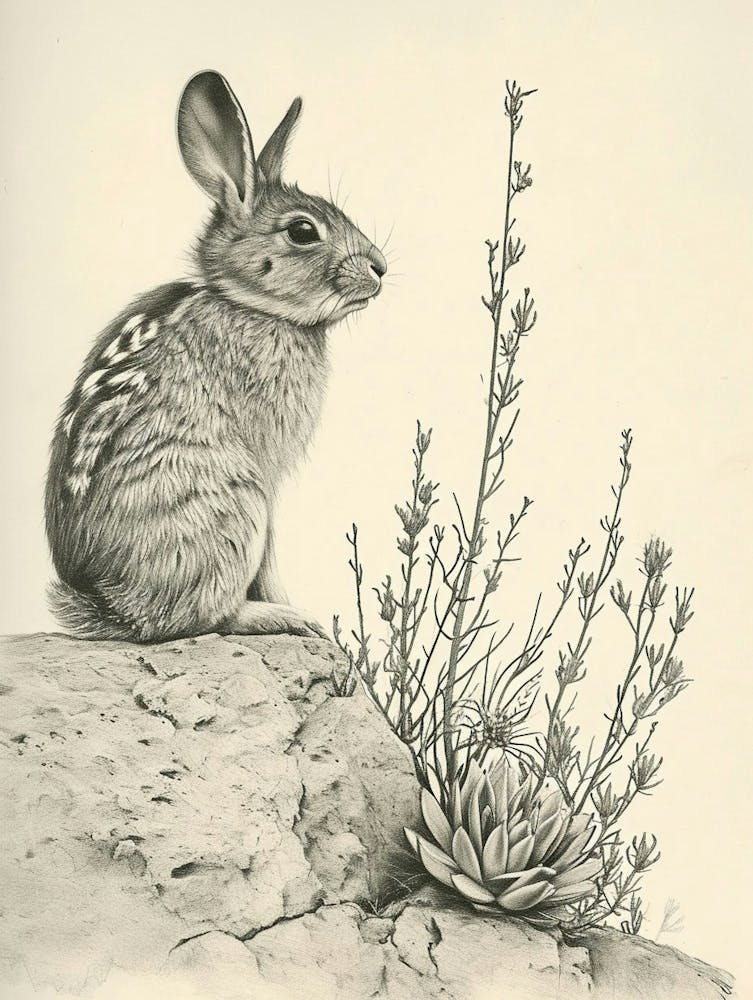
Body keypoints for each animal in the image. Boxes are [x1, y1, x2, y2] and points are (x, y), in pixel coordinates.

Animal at [45, 70, 387, 643]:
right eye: (302, 230)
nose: (380, 268)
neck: (248, 302)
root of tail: (116, 608)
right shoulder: (266, 474)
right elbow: (270, 552)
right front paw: (290, 604)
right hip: (229, 503)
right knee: (206, 616)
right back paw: (281, 617)